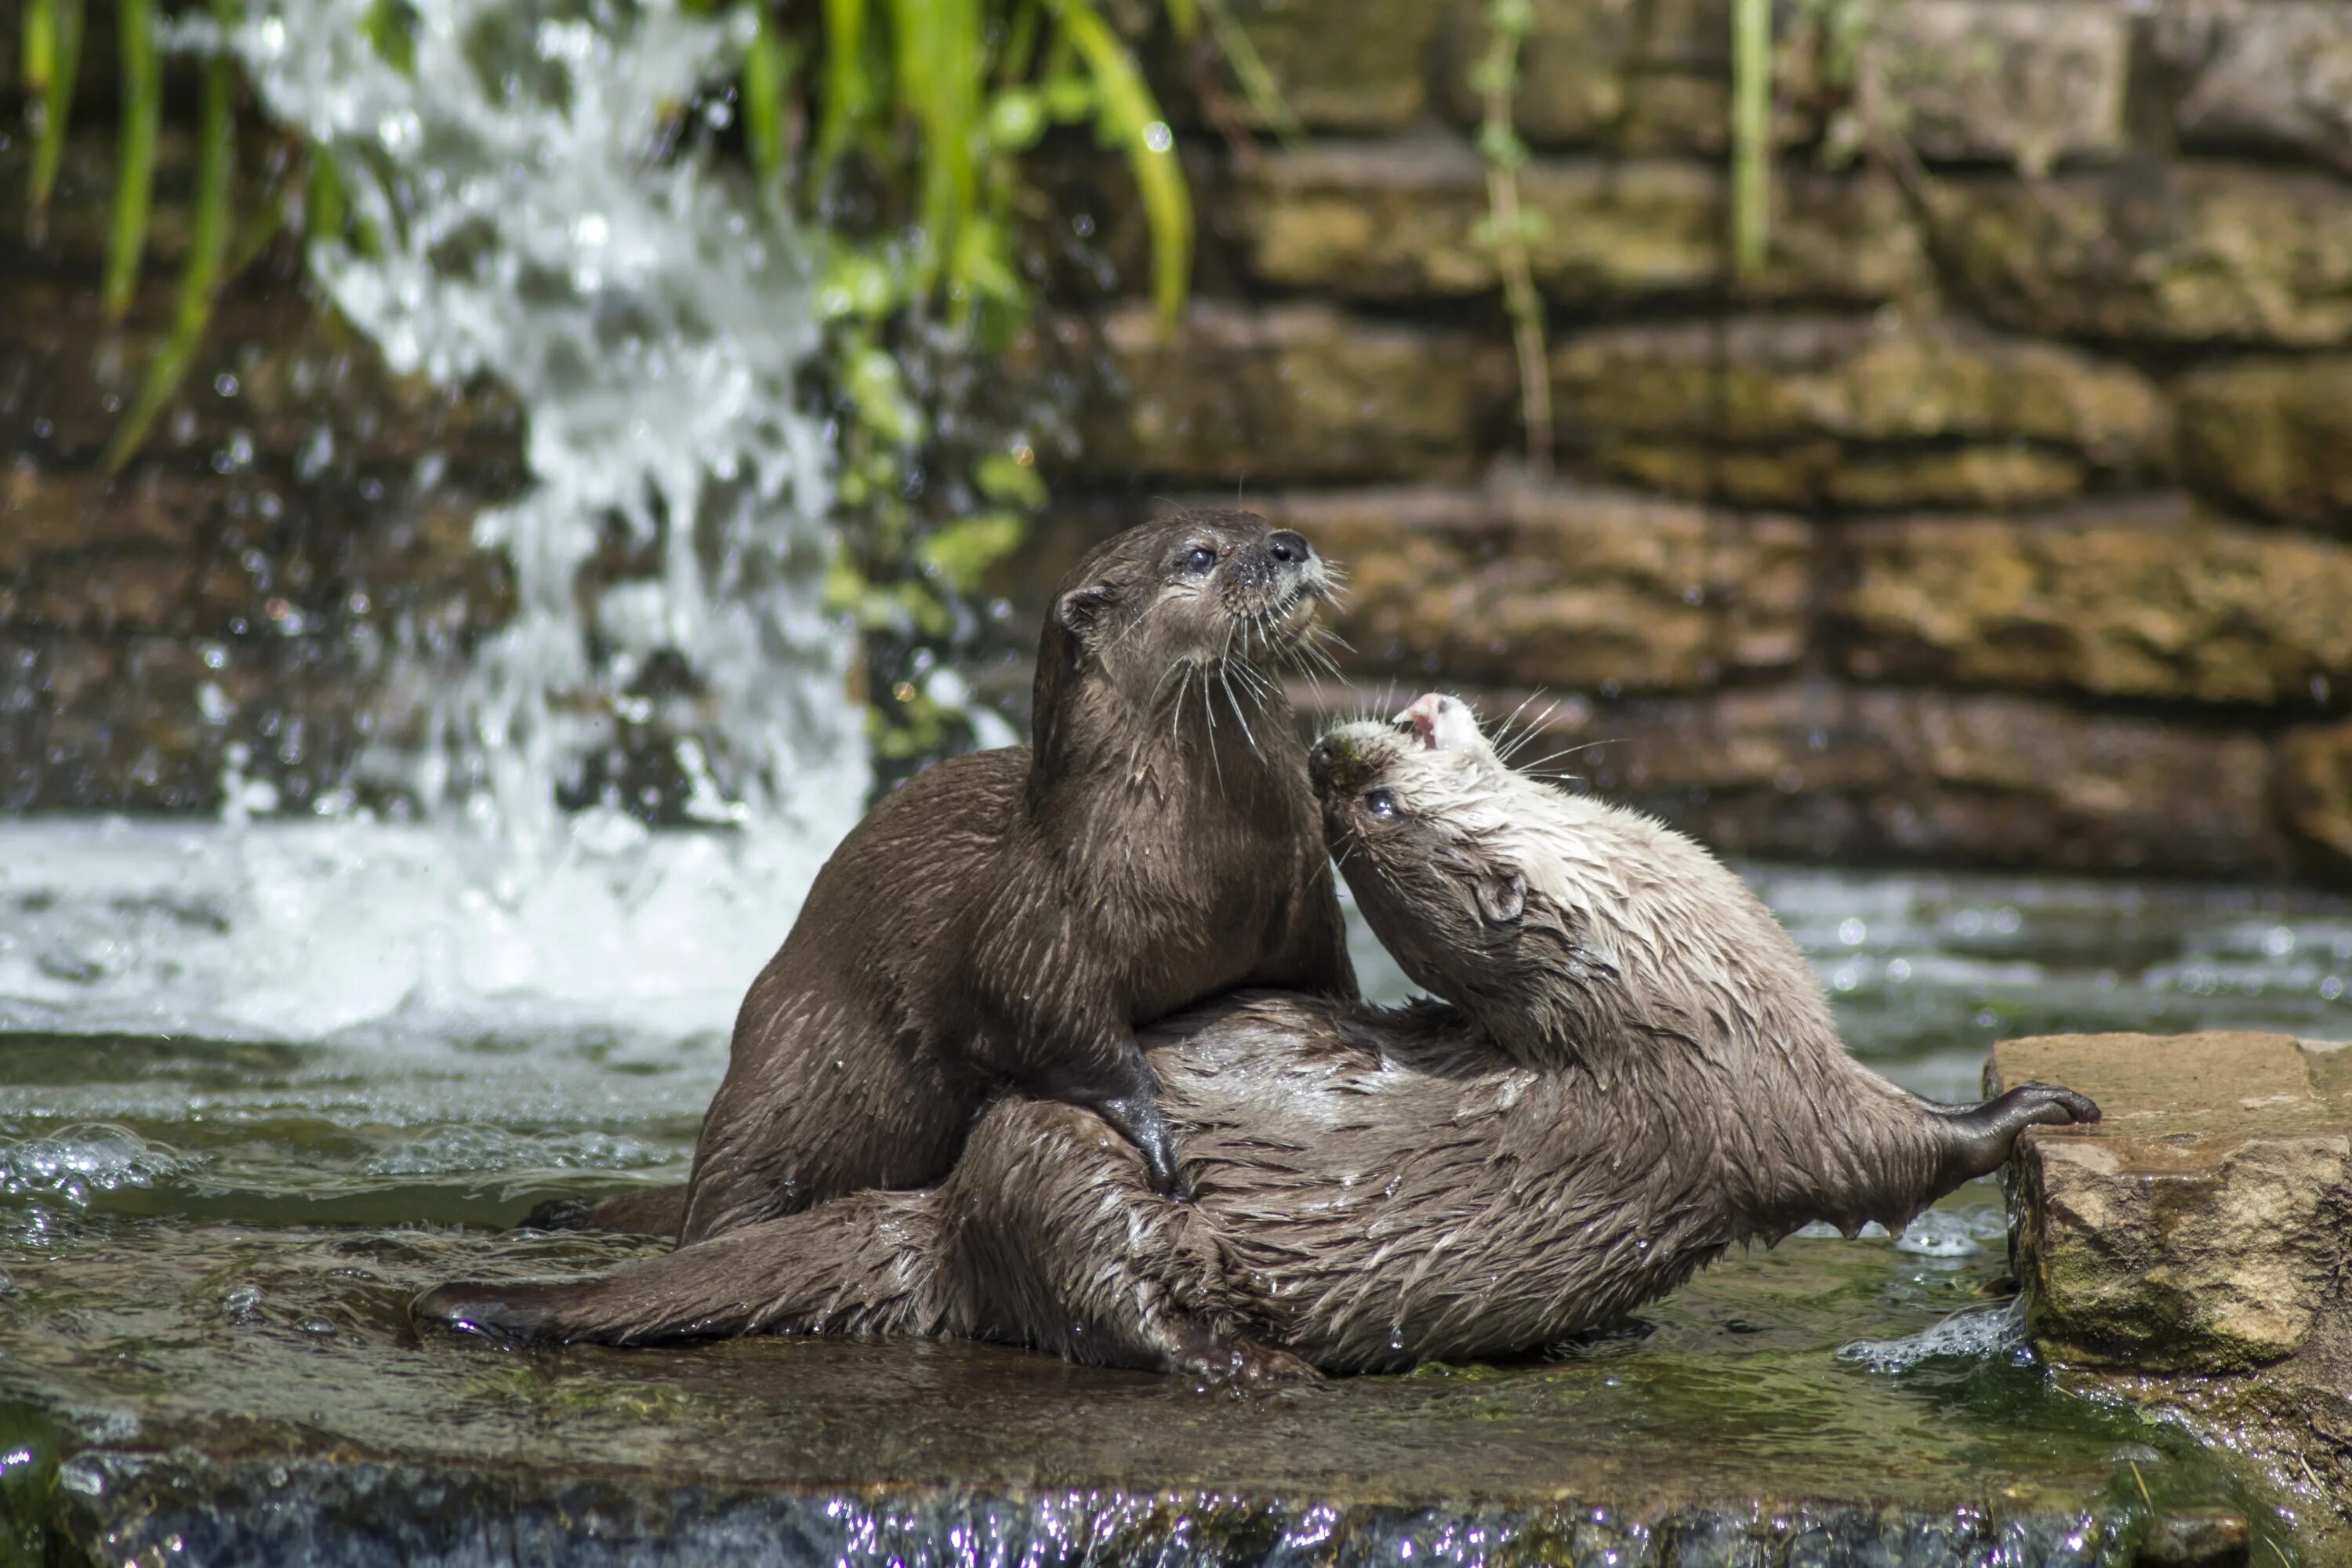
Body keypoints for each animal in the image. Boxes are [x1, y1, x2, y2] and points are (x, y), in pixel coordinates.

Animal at [419, 691, 2098, 1382]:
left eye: (1370, 811)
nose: (1329, 754)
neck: (1672, 974)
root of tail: (950, 1197)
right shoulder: (1761, 1088)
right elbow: (1883, 1157)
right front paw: (2033, 1115)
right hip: (1081, 1178)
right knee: (1105, 1309)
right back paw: (1247, 1363)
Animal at [539, 514, 1355, 1250]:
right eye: (1199, 555)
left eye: (1257, 519)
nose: (1290, 546)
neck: (1211, 867)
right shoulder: (1040, 935)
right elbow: (1066, 1035)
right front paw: (1157, 1139)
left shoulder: (1311, 913)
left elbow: (1333, 985)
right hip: (781, 1073)